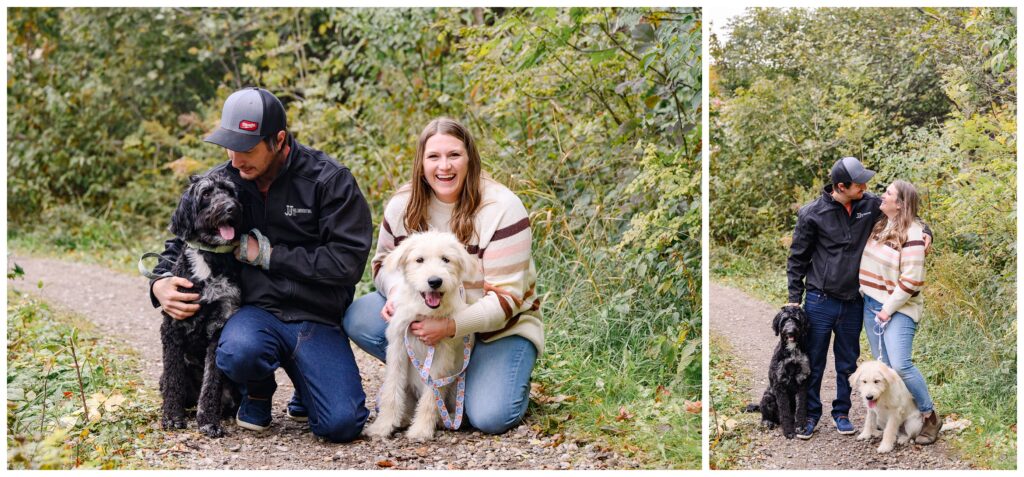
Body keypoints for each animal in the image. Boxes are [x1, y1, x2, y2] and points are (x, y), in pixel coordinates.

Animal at [161, 172, 245, 438]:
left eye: (229, 191)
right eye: (206, 193)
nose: (232, 208)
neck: (210, 260)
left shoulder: (219, 328)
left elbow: (211, 384)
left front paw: (208, 421)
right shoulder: (172, 327)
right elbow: (173, 379)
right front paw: (172, 417)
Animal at [362, 231, 477, 440]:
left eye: (446, 259)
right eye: (419, 260)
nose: (435, 281)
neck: (423, 312)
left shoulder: (441, 358)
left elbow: (431, 397)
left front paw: (421, 429)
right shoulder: (398, 347)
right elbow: (392, 391)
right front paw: (382, 427)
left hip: (455, 388)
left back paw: (443, 420)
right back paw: (403, 419)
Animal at [745, 305, 806, 440]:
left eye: (796, 319)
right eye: (784, 320)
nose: (790, 331)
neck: (791, 353)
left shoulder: (801, 383)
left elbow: (800, 408)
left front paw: (800, 427)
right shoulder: (779, 386)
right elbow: (785, 411)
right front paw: (788, 431)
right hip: (768, 398)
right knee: (766, 415)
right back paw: (767, 422)